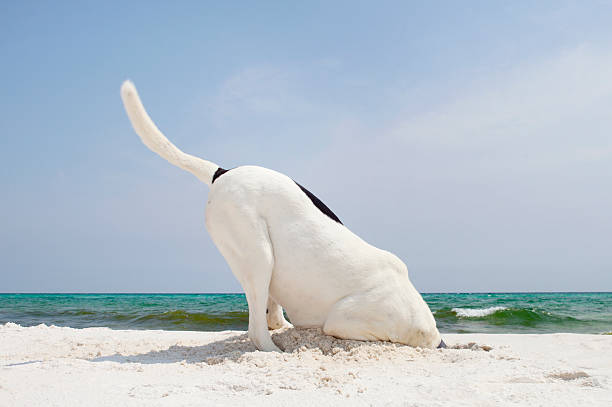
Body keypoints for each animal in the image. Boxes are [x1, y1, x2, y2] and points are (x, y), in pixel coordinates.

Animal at [120, 81, 444, 352]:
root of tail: (222, 173)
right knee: (256, 330)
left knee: (269, 313)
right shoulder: (345, 321)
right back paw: (274, 351)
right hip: (258, 254)